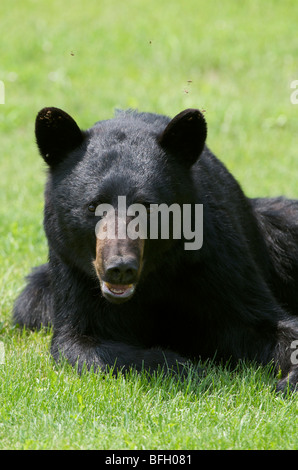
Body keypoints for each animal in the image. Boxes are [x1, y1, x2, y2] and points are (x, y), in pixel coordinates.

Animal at [12, 106, 298, 392]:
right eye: (93, 206)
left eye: (148, 207)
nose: (120, 268)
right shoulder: (75, 274)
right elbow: (81, 342)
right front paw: (191, 369)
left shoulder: (215, 258)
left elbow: (260, 321)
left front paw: (287, 380)